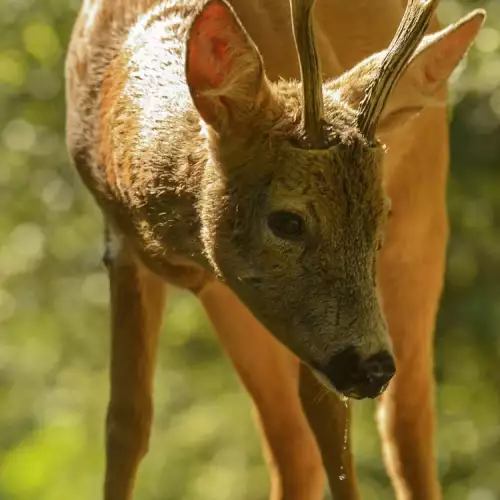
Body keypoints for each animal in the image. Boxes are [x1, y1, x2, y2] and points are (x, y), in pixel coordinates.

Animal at [64, 0, 482, 500]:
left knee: (405, 422)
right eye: (287, 220)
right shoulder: (122, 244)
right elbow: (126, 424)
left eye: (382, 217)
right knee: (293, 445)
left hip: (423, 216)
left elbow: (331, 420)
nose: (374, 367)